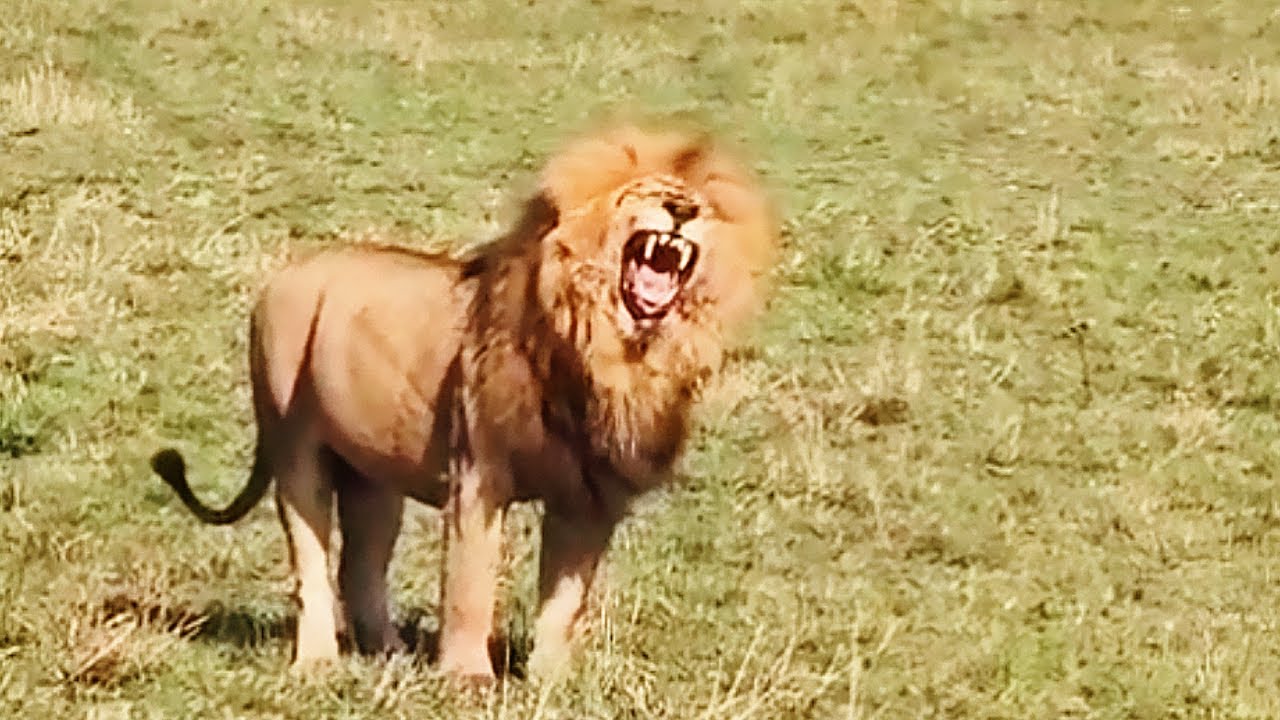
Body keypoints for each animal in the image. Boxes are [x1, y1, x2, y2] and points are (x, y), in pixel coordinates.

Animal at [149, 125, 776, 683]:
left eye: (696, 204)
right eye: (644, 195)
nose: (680, 209)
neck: (613, 350)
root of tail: (281, 275)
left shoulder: (590, 494)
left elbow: (566, 598)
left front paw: (552, 679)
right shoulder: (479, 467)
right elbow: (471, 580)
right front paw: (469, 677)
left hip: (373, 473)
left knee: (361, 565)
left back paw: (390, 654)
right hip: (294, 440)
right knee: (312, 561)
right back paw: (319, 662)